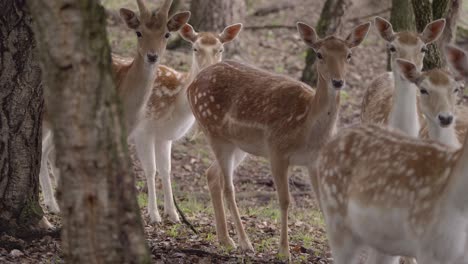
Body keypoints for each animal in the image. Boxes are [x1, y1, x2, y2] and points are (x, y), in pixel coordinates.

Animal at [131, 23, 243, 225]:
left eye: (220, 49)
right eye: (195, 48)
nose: (208, 72)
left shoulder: (164, 136)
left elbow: (166, 170)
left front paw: (173, 214)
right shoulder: (143, 130)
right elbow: (151, 169)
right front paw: (154, 215)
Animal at [185, 21, 372, 258]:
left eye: (349, 55)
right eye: (319, 54)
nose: (338, 81)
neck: (306, 128)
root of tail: (190, 86)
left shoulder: (314, 160)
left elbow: (323, 203)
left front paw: (333, 252)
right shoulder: (277, 150)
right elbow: (284, 200)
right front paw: (284, 251)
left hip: (238, 145)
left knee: (212, 174)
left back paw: (225, 240)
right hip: (214, 132)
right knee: (228, 187)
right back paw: (244, 242)